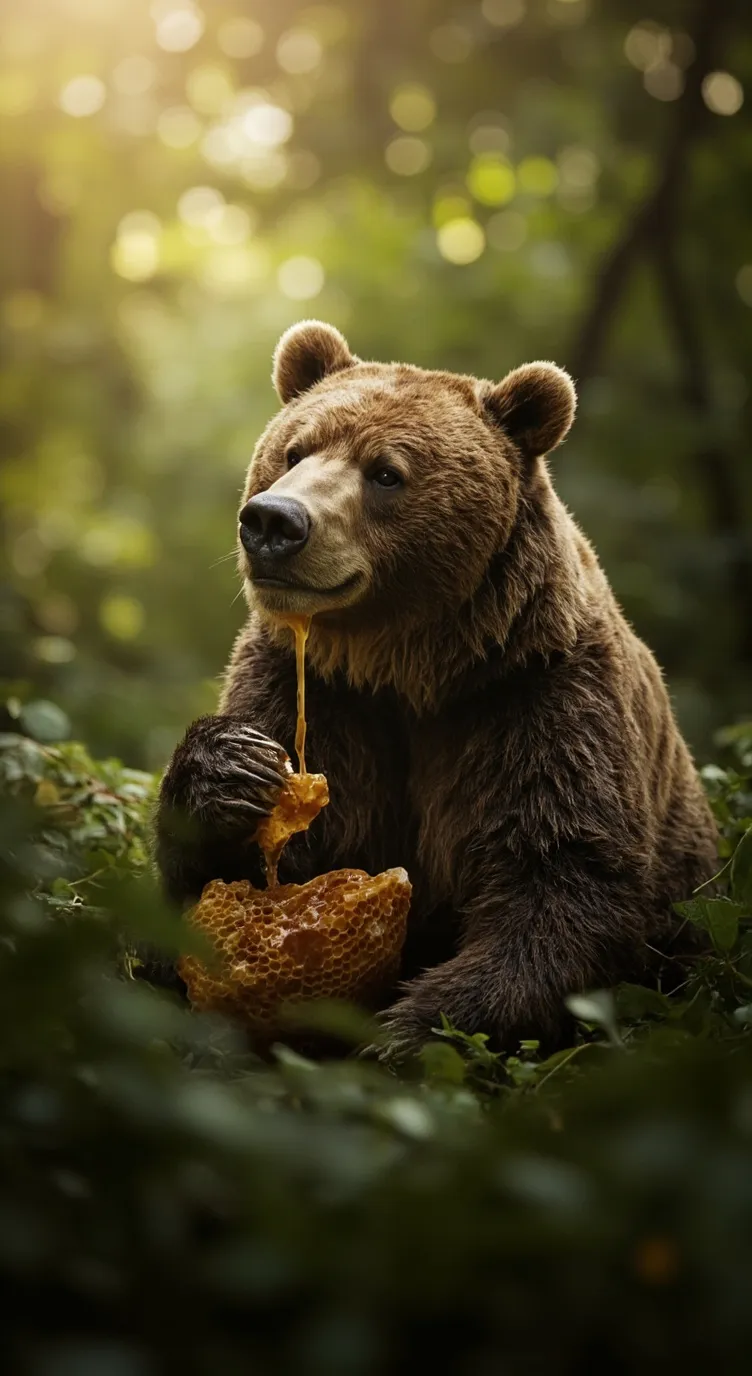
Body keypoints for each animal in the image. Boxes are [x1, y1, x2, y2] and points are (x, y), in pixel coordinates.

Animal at [155, 319, 718, 1055]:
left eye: (386, 472)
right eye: (293, 450)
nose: (273, 522)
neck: (411, 668)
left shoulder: (537, 699)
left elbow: (564, 880)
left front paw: (405, 1031)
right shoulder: (318, 692)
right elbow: (242, 872)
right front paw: (233, 767)